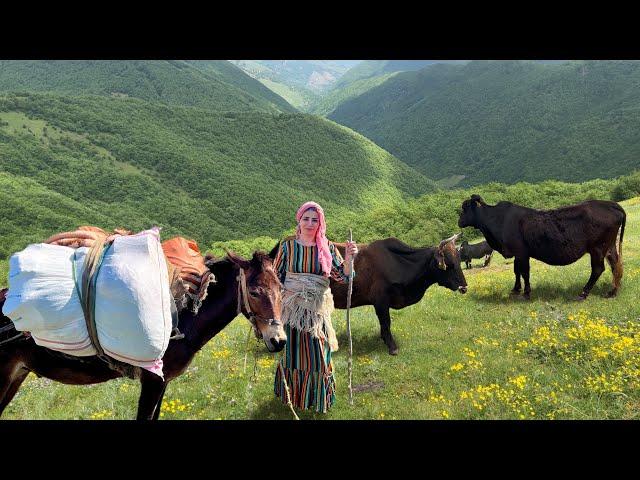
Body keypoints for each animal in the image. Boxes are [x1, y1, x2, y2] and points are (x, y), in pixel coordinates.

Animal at [0, 251, 284, 420]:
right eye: (254, 292)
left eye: (281, 288)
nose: (279, 341)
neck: (181, 316)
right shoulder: (152, 381)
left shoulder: (163, 382)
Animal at [268, 234, 468, 354]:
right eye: (449, 264)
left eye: (459, 260)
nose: (464, 287)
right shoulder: (381, 301)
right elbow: (386, 323)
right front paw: (392, 346)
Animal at [458, 195, 628, 300]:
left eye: (465, 208)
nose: (459, 221)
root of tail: (610, 204)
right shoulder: (517, 253)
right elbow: (516, 271)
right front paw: (515, 290)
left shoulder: (521, 252)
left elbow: (524, 272)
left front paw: (526, 293)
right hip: (609, 246)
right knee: (615, 265)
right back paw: (612, 291)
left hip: (597, 248)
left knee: (598, 269)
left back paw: (583, 293)